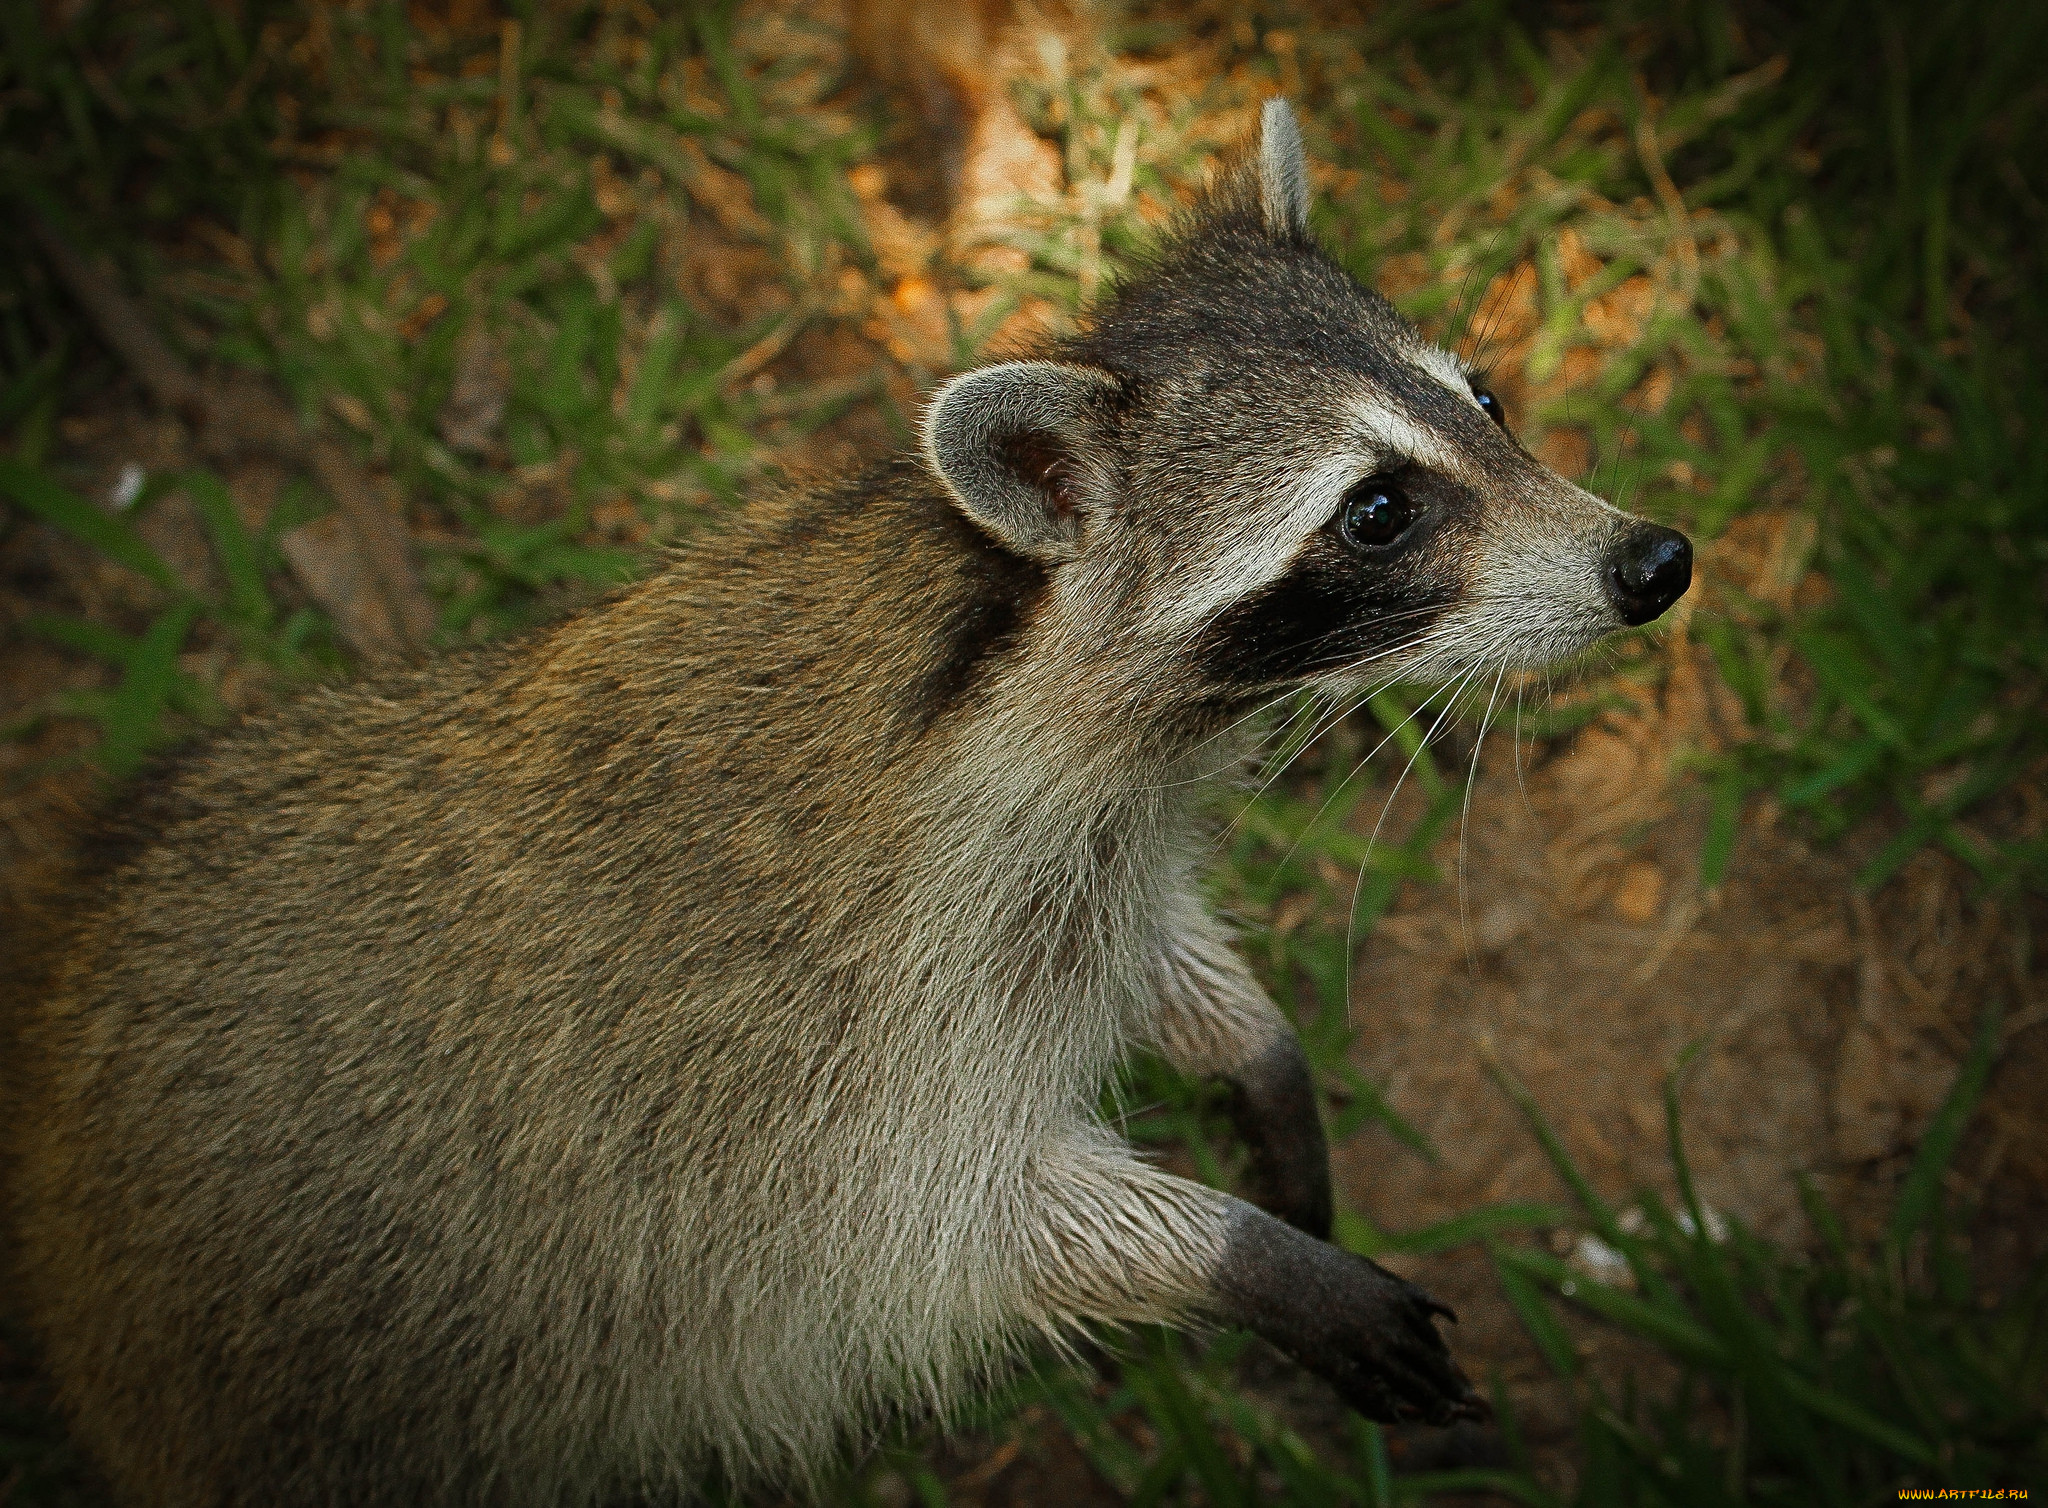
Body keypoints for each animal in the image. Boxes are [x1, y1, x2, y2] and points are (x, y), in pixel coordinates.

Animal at [8, 100, 1687, 1499]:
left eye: (1487, 400)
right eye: (1379, 511)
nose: (1656, 562)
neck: (1013, 651)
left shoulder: (1073, 866)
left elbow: (1152, 952)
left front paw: (1254, 1055)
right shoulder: (820, 1057)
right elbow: (943, 1233)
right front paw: (1231, 1248)